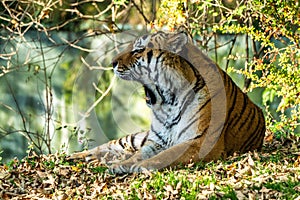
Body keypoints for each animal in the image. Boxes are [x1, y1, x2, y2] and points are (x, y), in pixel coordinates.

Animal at [71, 30, 268, 173]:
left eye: (138, 50)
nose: (112, 63)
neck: (168, 102)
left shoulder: (200, 141)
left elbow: (165, 155)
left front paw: (137, 166)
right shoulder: (155, 141)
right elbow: (138, 155)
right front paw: (122, 165)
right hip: (136, 137)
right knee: (110, 145)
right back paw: (80, 156)